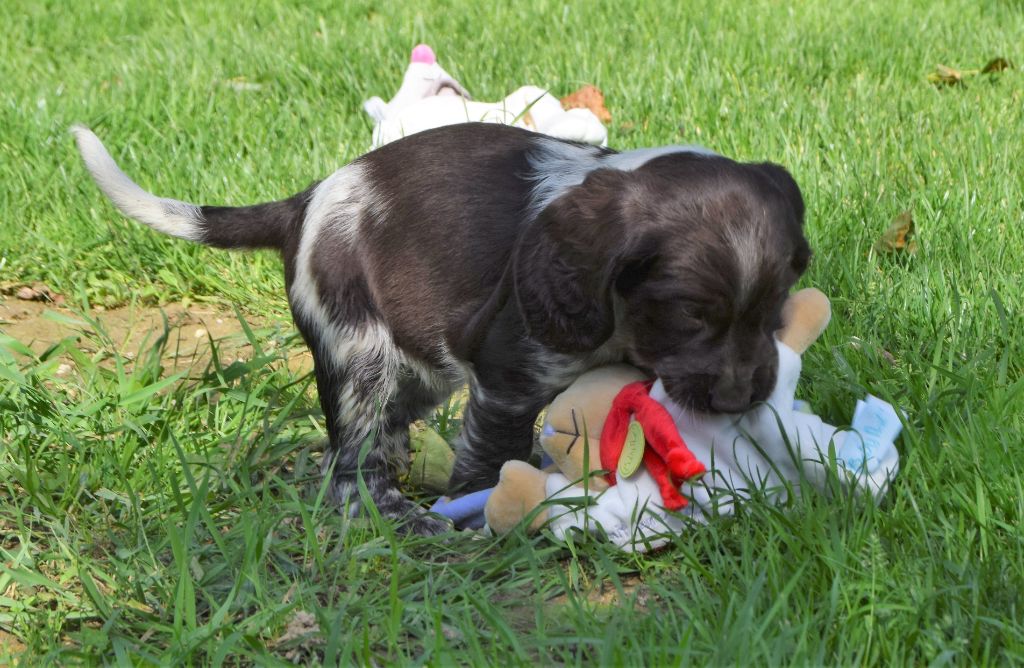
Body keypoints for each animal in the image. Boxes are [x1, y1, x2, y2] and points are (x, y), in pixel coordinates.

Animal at [73, 123, 810, 535]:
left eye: (777, 302)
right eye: (689, 314)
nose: (742, 398)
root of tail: (304, 201)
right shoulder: (509, 377)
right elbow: (490, 460)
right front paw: (486, 512)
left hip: (417, 363)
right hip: (361, 353)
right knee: (350, 474)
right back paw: (401, 516)